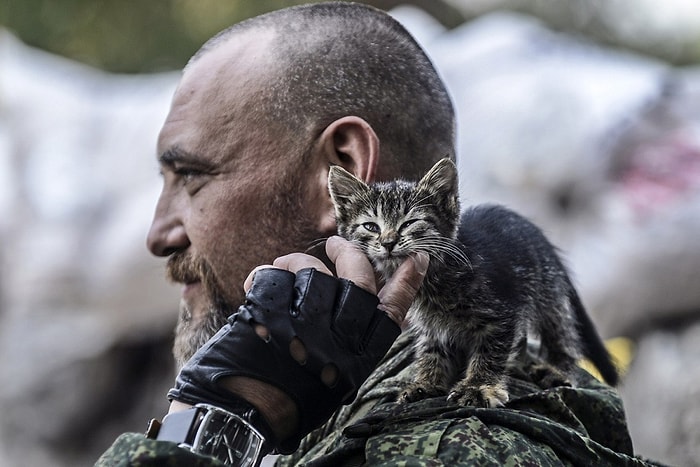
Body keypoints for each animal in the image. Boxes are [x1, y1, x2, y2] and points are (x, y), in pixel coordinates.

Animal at [328, 159, 616, 408]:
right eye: (371, 226)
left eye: (410, 223)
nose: (388, 243)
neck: (435, 279)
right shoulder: (433, 327)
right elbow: (432, 352)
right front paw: (427, 382)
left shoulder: (502, 313)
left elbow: (490, 352)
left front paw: (478, 386)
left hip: (547, 289)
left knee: (562, 332)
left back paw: (557, 368)